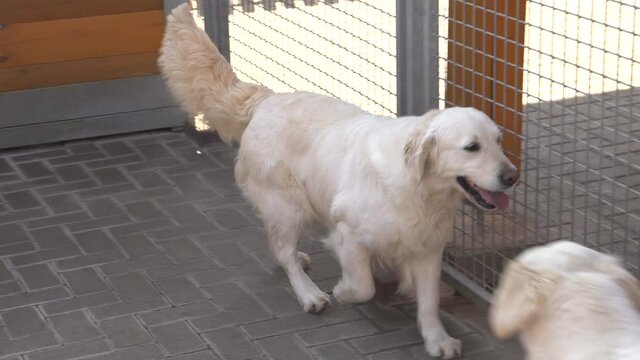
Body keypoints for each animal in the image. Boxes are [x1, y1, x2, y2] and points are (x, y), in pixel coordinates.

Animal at [160, 4, 520, 358]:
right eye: (472, 147)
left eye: (499, 141)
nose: (513, 176)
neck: (419, 189)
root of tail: (267, 99)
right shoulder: (349, 232)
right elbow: (363, 286)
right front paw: (344, 290)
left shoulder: (427, 246)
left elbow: (429, 301)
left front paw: (437, 339)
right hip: (289, 203)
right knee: (284, 250)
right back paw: (309, 293)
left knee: (278, 245)